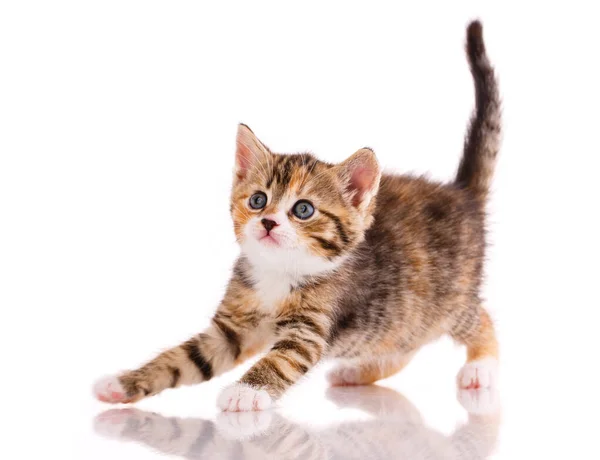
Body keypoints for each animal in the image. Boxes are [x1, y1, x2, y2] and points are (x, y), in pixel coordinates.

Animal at [95, 19, 502, 412]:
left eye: (303, 209)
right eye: (258, 200)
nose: (268, 222)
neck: (278, 271)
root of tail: (461, 193)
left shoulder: (311, 327)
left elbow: (282, 359)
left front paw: (246, 392)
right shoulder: (230, 329)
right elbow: (181, 358)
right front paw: (124, 383)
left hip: (447, 299)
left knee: (480, 318)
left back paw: (481, 366)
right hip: (401, 319)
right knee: (402, 346)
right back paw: (356, 372)